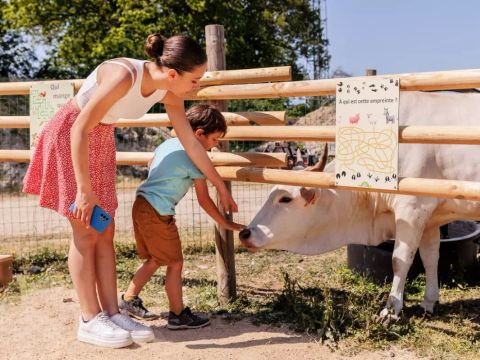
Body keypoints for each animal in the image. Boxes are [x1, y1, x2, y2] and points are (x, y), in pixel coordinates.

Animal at [242, 91, 480, 320]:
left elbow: (400, 260)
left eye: (285, 199)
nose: (245, 233)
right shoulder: (429, 219)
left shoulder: (412, 209)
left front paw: (391, 310)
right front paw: (429, 302)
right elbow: (430, 258)